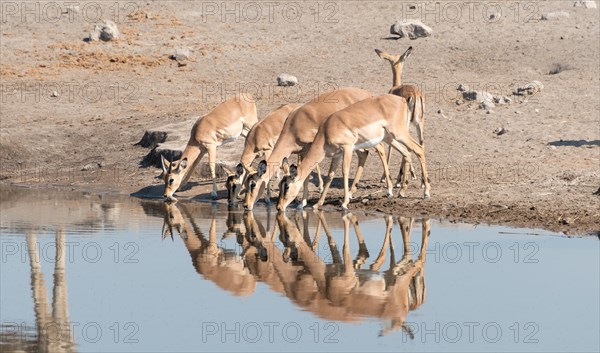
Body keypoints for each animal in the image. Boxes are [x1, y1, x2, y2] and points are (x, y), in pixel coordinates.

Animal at [241, 87, 372, 210]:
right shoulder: (302, 151)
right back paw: (351, 192)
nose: (246, 205)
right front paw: (302, 203)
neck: (294, 126)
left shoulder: (309, 148)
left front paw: (302, 203)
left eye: (253, 184)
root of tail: (367, 94)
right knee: (364, 154)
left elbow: (307, 174)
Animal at [278, 93, 428, 209]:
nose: (279, 207)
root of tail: (402, 100)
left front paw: (344, 203)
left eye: (287, 187)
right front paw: (318, 204)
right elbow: (331, 175)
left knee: (419, 149)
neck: (326, 130)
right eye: (280, 185)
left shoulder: (347, 147)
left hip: (399, 134)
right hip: (390, 138)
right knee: (407, 153)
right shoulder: (336, 155)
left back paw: (426, 193)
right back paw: (400, 191)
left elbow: (345, 171)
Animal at [376, 46, 426, 187]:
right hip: (420, 123)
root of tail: (415, 95)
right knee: (421, 144)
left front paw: (384, 177)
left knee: (409, 147)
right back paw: (422, 182)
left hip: (406, 124)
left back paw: (399, 180)